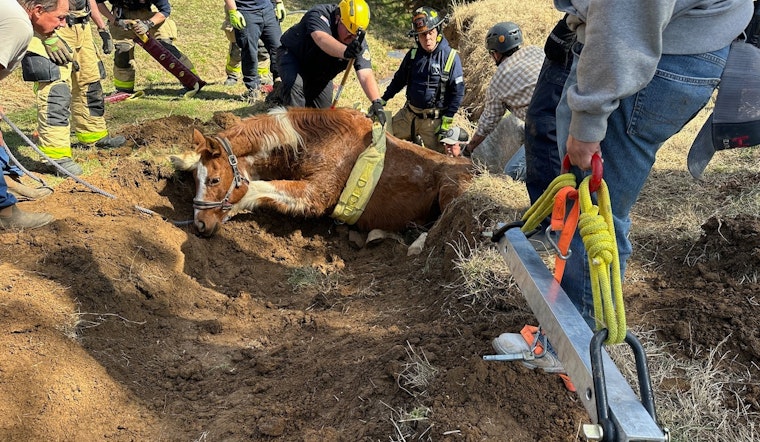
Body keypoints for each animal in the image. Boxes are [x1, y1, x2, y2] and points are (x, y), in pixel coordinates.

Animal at [172, 107, 474, 237]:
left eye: (214, 179)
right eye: (197, 180)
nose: (200, 225)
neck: (314, 141)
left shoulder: (316, 195)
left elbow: (253, 189)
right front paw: (183, 159)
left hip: (451, 190)